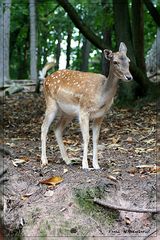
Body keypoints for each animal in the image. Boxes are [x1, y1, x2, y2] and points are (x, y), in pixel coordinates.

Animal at [40, 42, 132, 170]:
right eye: (115, 62)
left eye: (129, 61)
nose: (129, 77)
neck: (101, 95)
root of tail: (45, 79)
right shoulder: (84, 111)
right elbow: (86, 137)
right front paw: (85, 165)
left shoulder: (100, 115)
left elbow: (96, 138)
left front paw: (96, 165)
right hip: (51, 103)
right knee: (44, 127)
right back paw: (44, 160)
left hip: (68, 113)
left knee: (57, 128)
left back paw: (68, 160)